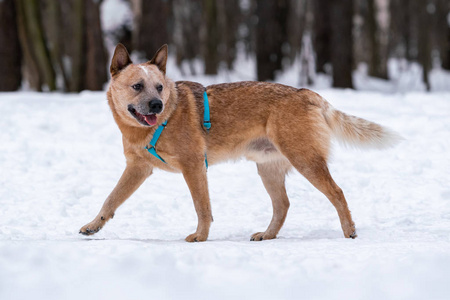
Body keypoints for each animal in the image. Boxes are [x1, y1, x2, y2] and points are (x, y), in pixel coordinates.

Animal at [79, 44, 400, 241]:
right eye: (137, 86)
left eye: (159, 87)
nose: (157, 105)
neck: (158, 124)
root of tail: (305, 92)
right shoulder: (138, 168)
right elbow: (111, 198)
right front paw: (94, 226)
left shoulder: (194, 166)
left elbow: (202, 207)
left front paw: (200, 237)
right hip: (268, 168)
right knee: (283, 205)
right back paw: (268, 235)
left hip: (305, 159)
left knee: (337, 192)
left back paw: (349, 231)